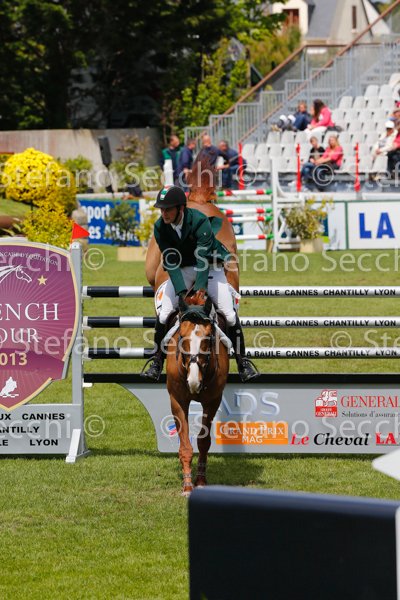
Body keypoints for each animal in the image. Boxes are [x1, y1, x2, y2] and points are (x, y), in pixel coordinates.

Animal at [165, 290, 229, 496]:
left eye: (208, 337)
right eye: (181, 336)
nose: (193, 381)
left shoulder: (213, 401)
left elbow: (203, 442)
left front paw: (200, 480)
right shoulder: (177, 401)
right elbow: (185, 446)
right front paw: (187, 485)